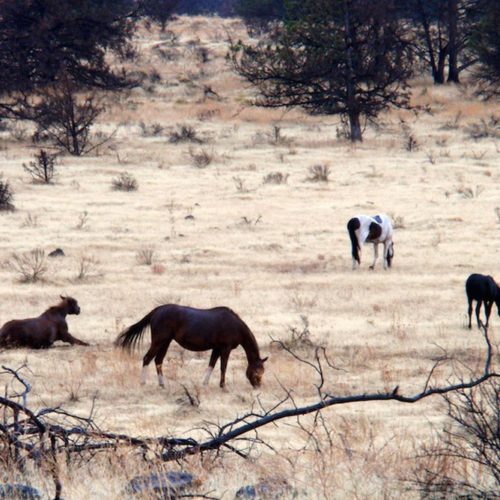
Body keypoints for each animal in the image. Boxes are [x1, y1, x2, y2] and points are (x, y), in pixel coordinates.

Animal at [115, 304, 268, 390]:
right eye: (257, 371)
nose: (258, 386)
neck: (234, 325)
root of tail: (158, 310)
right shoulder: (225, 348)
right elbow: (223, 366)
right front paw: (223, 386)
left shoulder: (216, 348)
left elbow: (211, 364)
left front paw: (205, 384)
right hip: (159, 341)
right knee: (147, 358)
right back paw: (143, 382)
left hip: (166, 342)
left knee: (158, 360)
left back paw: (162, 385)